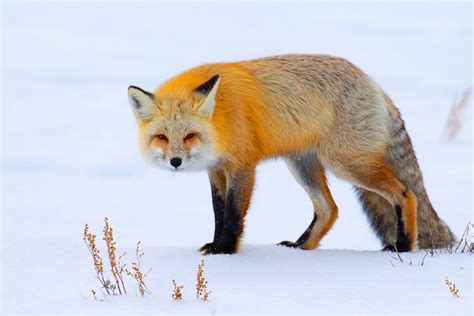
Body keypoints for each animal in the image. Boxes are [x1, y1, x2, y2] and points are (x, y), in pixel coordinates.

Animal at [128, 54, 454, 254]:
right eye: (162, 137)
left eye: (189, 136)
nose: (176, 162)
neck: (221, 117)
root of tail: (373, 83)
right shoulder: (217, 170)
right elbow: (218, 213)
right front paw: (215, 245)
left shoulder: (243, 166)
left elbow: (232, 215)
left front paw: (225, 251)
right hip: (302, 165)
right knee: (329, 209)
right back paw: (301, 246)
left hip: (348, 165)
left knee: (405, 193)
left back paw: (404, 246)